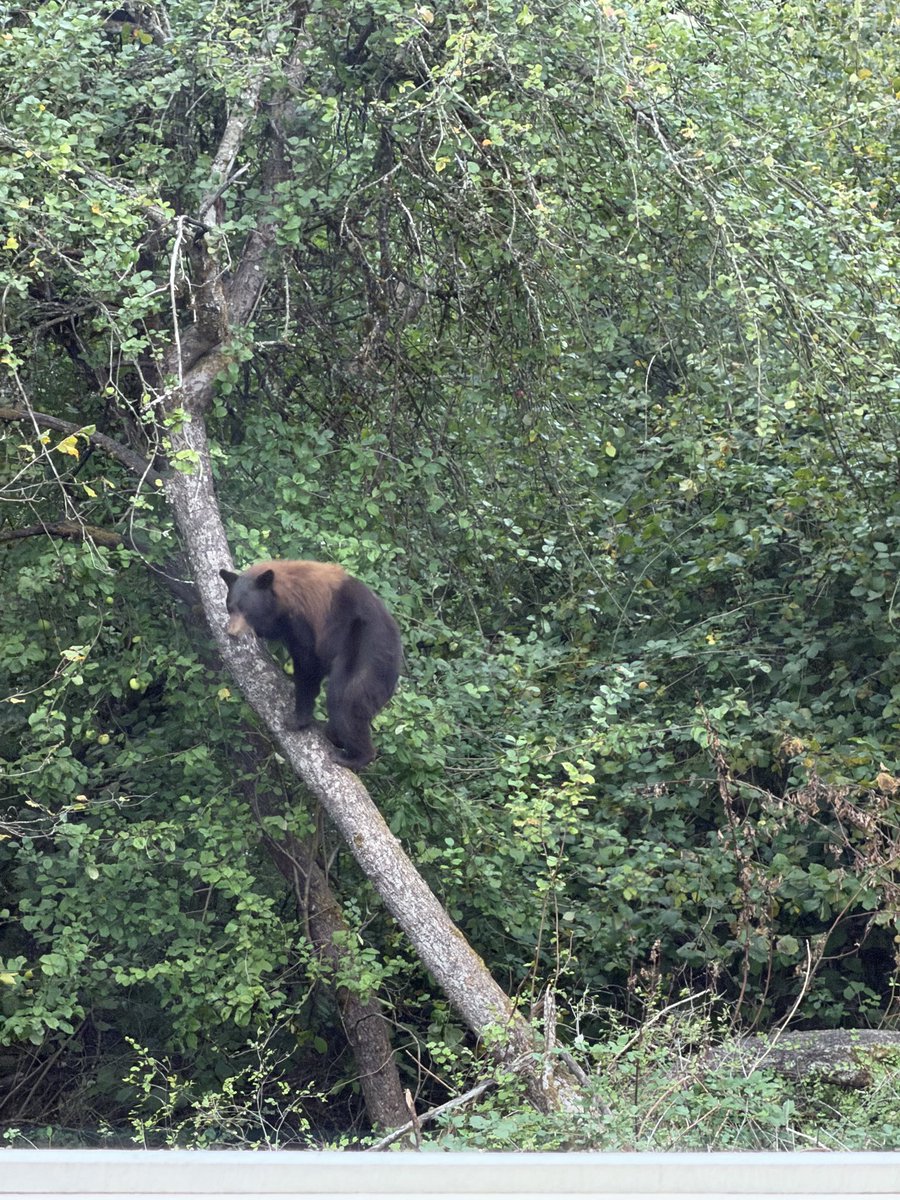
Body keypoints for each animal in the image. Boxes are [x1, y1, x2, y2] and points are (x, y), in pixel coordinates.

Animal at [219, 560, 402, 770]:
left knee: (344, 700)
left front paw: (297, 720)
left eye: (247, 610)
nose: (232, 632)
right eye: (230, 607)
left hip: (363, 653)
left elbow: (308, 666)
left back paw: (354, 755)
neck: (284, 596)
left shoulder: (304, 624)